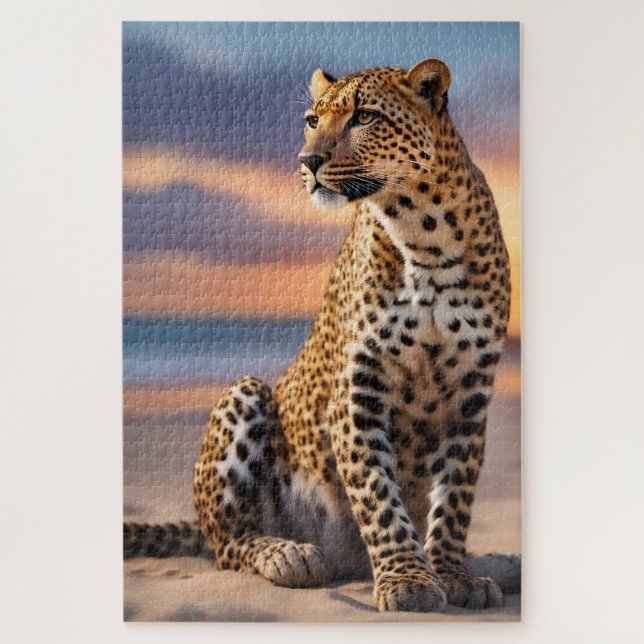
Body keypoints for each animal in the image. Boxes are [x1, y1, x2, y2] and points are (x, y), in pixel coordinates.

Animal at [124, 59, 512, 613]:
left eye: (365, 117)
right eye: (312, 121)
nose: (307, 161)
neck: (427, 237)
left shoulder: (471, 397)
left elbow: (454, 500)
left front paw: (453, 573)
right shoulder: (356, 394)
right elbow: (378, 496)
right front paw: (409, 580)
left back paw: (498, 563)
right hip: (244, 396)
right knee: (228, 544)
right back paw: (286, 554)